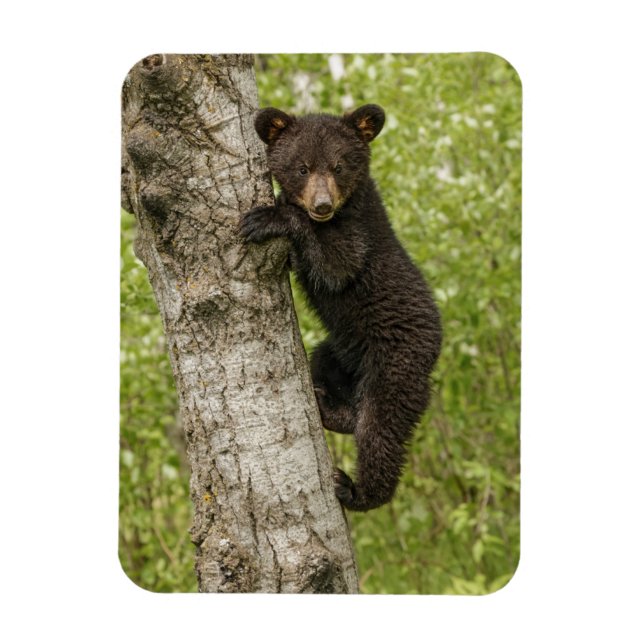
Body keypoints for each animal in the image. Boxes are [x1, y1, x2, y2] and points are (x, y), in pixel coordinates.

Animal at [240, 104, 442, 512]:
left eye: (338, 166)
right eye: (302, 167)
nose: (322, 205)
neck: (346, 208)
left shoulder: (359, 236)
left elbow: (337, 264)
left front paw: (268, 217)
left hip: (396, 366)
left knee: (381, 430)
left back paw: (357, 490)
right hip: (340, 351)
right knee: (328, 372)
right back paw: (328, 406)